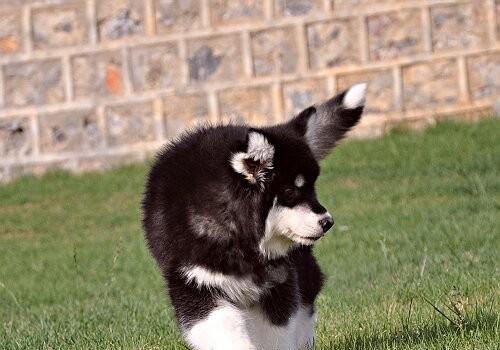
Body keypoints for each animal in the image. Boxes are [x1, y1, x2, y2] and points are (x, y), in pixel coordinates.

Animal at [142, 83, 368, 348]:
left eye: (312, 189)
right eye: (290, 192)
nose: (328, 222)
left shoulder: (279, 283)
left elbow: (277, 333)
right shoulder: (196, 286)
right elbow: (227, 335)